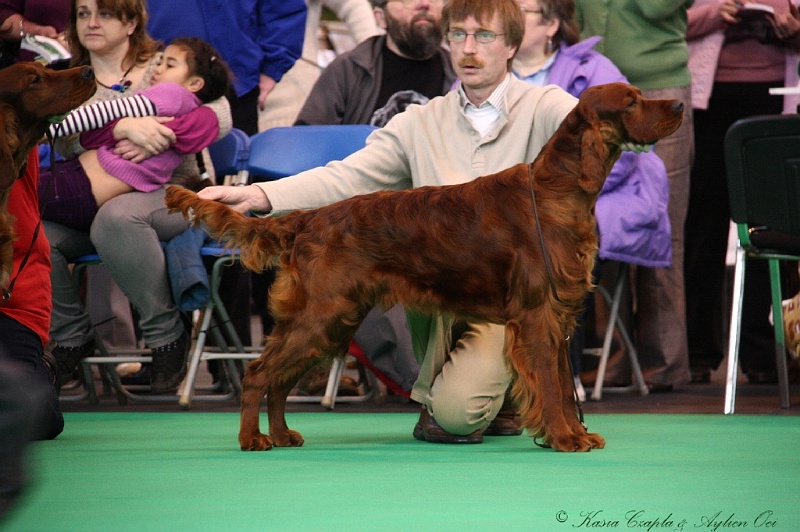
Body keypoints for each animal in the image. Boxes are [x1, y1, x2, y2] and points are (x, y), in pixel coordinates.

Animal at [166, 83, 684, 454]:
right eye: (632, 101)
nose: (680, 102)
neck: (557, 191)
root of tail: (308, 219)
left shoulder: (558, 318)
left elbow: (560, 383)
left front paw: (575, 434)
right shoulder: (538, 316)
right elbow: (553, 389)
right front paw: (563, 439)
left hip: (330, 322)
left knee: (280, 380)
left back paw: (282, 435)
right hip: (320, 316)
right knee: (258, 374)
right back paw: (252, 439)